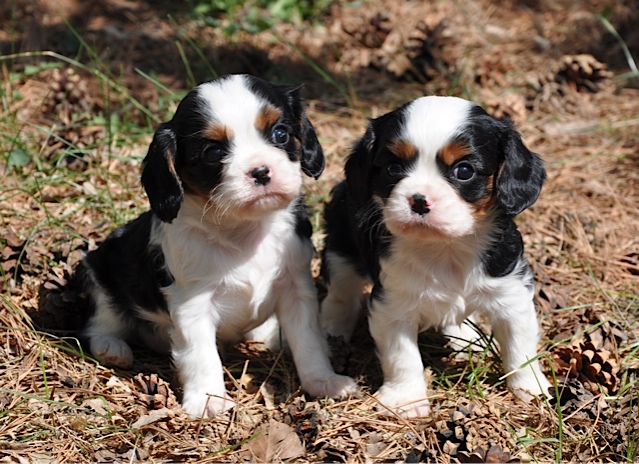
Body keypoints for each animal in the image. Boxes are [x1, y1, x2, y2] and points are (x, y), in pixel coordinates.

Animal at [75, 74, 357, 418]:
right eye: (213, 152)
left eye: (280, 134)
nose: (261, 171)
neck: (244, 229)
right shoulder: (192, 303)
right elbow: (201, 355)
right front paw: (209, 400)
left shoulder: (296, 288)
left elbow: (309, 340)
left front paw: (323, 381)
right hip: (96, 274)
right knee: (98, 324)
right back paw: (112, 348)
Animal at [320, 96, 551, 418]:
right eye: (392, 168)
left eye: (464, 171)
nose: (418, 200)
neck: (445, 247)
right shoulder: (392, 304)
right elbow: (402, 356)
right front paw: (406, 398)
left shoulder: (511, 291)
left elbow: (520, 346)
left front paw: (530, 388)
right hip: (341, 249)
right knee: (340, 294)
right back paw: (333, 330)